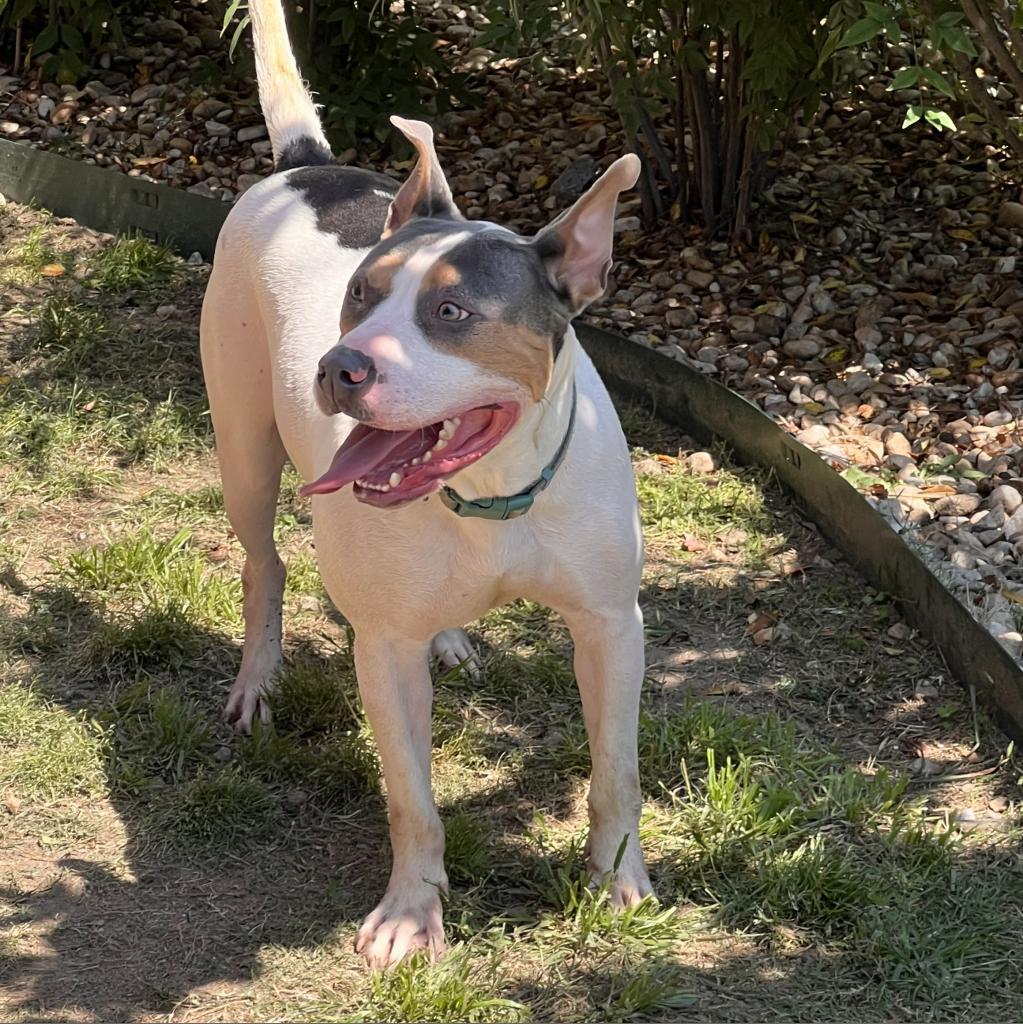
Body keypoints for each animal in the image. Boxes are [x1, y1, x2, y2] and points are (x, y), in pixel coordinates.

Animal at [202, 0, 651, 966]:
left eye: (451, 313)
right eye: (358, 296)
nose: (338, 367)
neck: (491, 494)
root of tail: (305, 164)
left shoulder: (609, 626)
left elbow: (615, 772)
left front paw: (619, 882)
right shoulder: (384, 651)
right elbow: (412, 798)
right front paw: (412, 914)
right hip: (242, 452)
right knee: (264, 566)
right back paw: (258, 678)